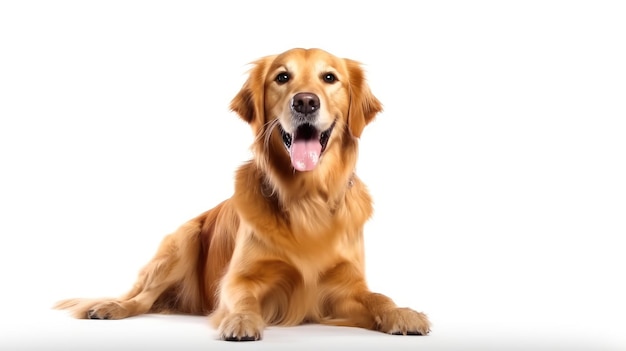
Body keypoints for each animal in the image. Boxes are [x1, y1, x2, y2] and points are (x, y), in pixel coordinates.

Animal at [54, 48, 428, 342]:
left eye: (329, 77)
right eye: (282, 77)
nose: (305, 102)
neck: (306, 199)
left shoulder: (345, 287)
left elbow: (378, 297)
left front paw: (403, 312)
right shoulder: (238, 279)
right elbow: (242, 298)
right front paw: (241, 320)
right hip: (184, 239)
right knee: (141, 298)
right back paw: (110, 307)